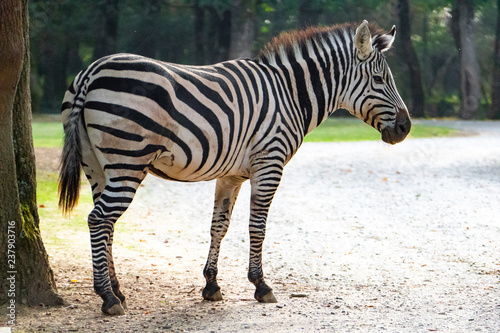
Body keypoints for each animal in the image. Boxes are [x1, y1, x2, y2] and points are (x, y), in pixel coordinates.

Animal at [58, 19, 410, 316]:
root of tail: (91, 71)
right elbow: (258, 227)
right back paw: (107, 297)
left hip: (97, 165)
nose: (406, 128)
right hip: (127, 161)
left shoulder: (231, 174)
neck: (291, 95)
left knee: (106, 222)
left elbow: (219, 225)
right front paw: (261, 285)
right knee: (99, 218)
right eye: (379, 80)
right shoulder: (269, 163)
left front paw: (211, 285)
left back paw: (117, 291)